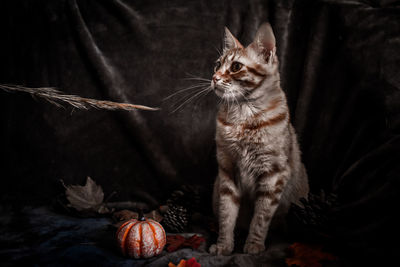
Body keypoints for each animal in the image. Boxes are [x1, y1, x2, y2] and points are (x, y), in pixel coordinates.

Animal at [209, 22, 310, 255]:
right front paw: (224, 245)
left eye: (236, 67)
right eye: (217, 64)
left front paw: (254, 244)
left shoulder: (273, 175)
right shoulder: (227, 171)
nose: (215, 78)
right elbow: (227, 215)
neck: (244, 118)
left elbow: (260, 218)